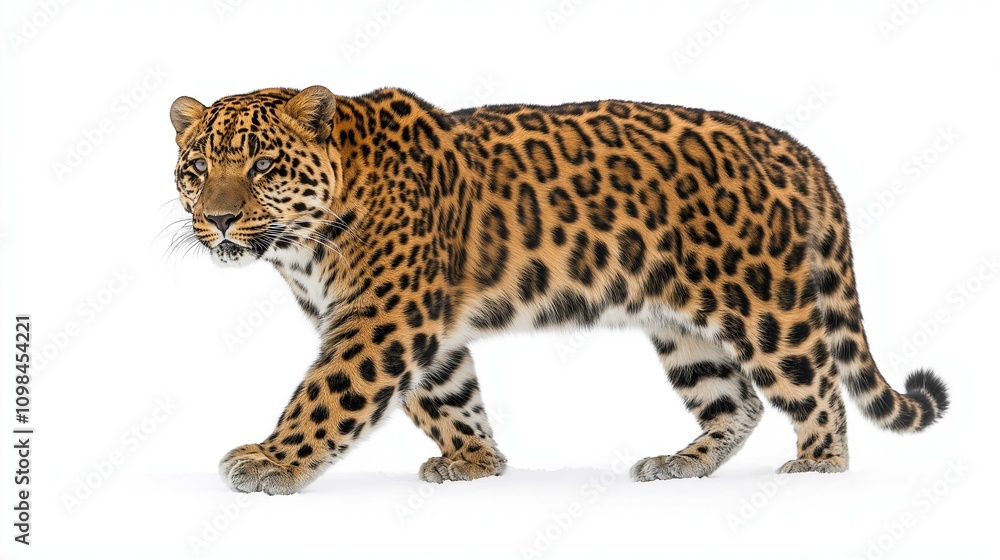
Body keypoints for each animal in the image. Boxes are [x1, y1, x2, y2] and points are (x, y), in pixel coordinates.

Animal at [168, 85, 949, 494]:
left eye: (264, 166)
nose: (220, 219)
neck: (302, 243)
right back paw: (682, 464)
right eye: (197, 168)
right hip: (682, 329)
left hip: (766, 305)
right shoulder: (424, 329)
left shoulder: (381, 320)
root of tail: (797, 149)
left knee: (816, 385)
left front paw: (271, 462)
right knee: (739, 401)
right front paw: (476, 462)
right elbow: (449, 397)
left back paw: (817, 467)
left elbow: (328, 395)